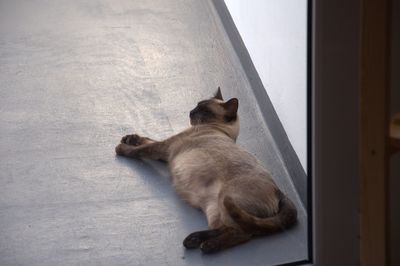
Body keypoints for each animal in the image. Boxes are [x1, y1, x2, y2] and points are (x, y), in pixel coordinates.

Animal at [115, 87, 296, 254]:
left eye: (205, 111)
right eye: (197, 105)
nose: (190, 112)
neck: (219, 130)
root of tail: (279, 191)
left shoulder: (164, 148)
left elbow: (141, 149)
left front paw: (121, 148)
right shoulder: (166, 152)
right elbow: (147, 139)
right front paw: (130, 138)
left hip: (225, 200)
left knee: (244, 232)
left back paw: (208, 246)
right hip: (214, 210)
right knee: (230, 228)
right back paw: (195, 240)